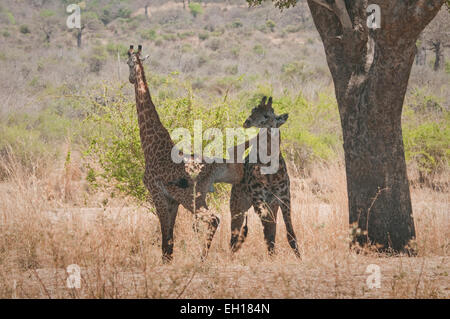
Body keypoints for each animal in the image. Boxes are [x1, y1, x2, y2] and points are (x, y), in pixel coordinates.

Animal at [126, 45, 246, 264]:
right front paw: (168, 261)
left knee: (214, 218)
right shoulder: (172, 201)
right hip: (198, 197)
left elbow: (165, 237)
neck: (151, 145)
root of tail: (216, 165)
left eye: (128, 63)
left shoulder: (157, 194)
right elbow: (170, 240)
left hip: (191, 198)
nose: (131, 79)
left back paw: (202, 257)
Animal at [230, 96, 300, 258]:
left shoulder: (284, 197)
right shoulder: (258, 199)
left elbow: (289, 233)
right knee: (233, 236)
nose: (247, 122)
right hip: (238, 206)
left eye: (268, 115)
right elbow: (268, 232)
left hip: (271, 205)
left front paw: (299, 257)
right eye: (253, 111)